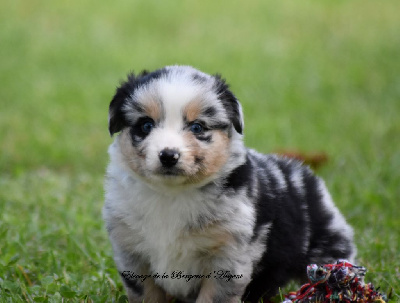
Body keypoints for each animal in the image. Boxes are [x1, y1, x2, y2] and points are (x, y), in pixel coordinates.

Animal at [103, 65, 356, 302]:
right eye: (146, 125)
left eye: (197, 127)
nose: (168, 155)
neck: (172, 194)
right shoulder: (132, 253)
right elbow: (147, 294)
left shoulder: (227, 257)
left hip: (328, 249)